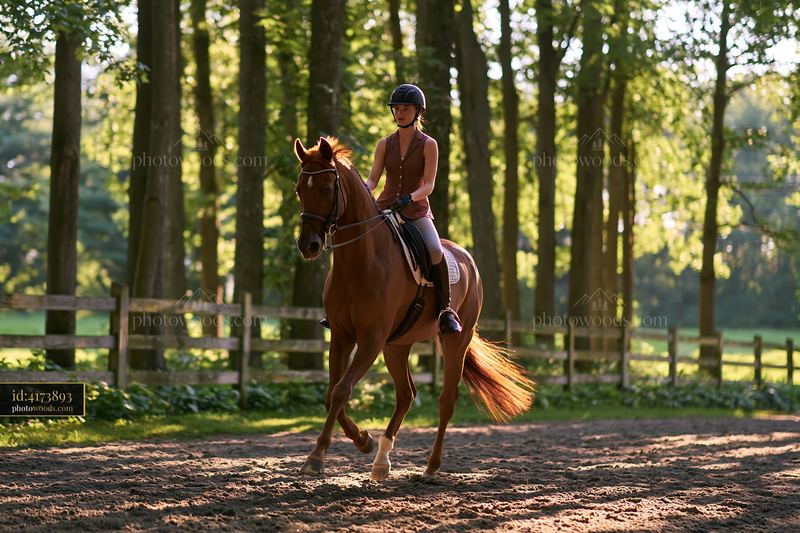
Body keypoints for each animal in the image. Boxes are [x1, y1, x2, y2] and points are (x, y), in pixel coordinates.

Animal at [292, 136, 534, 480]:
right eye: (300, 188)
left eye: (327, 187)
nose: (308, 246)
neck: (359, 263)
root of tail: (467, 259)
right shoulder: (341, 336)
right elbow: (330, 395)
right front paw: (363, 440)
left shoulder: (371, 340)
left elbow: (340, 390)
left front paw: (317, 456)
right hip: (397, 345)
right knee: (406, 395)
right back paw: (381, 461)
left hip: (454, 341)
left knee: (446, 400)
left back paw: (432, 465)